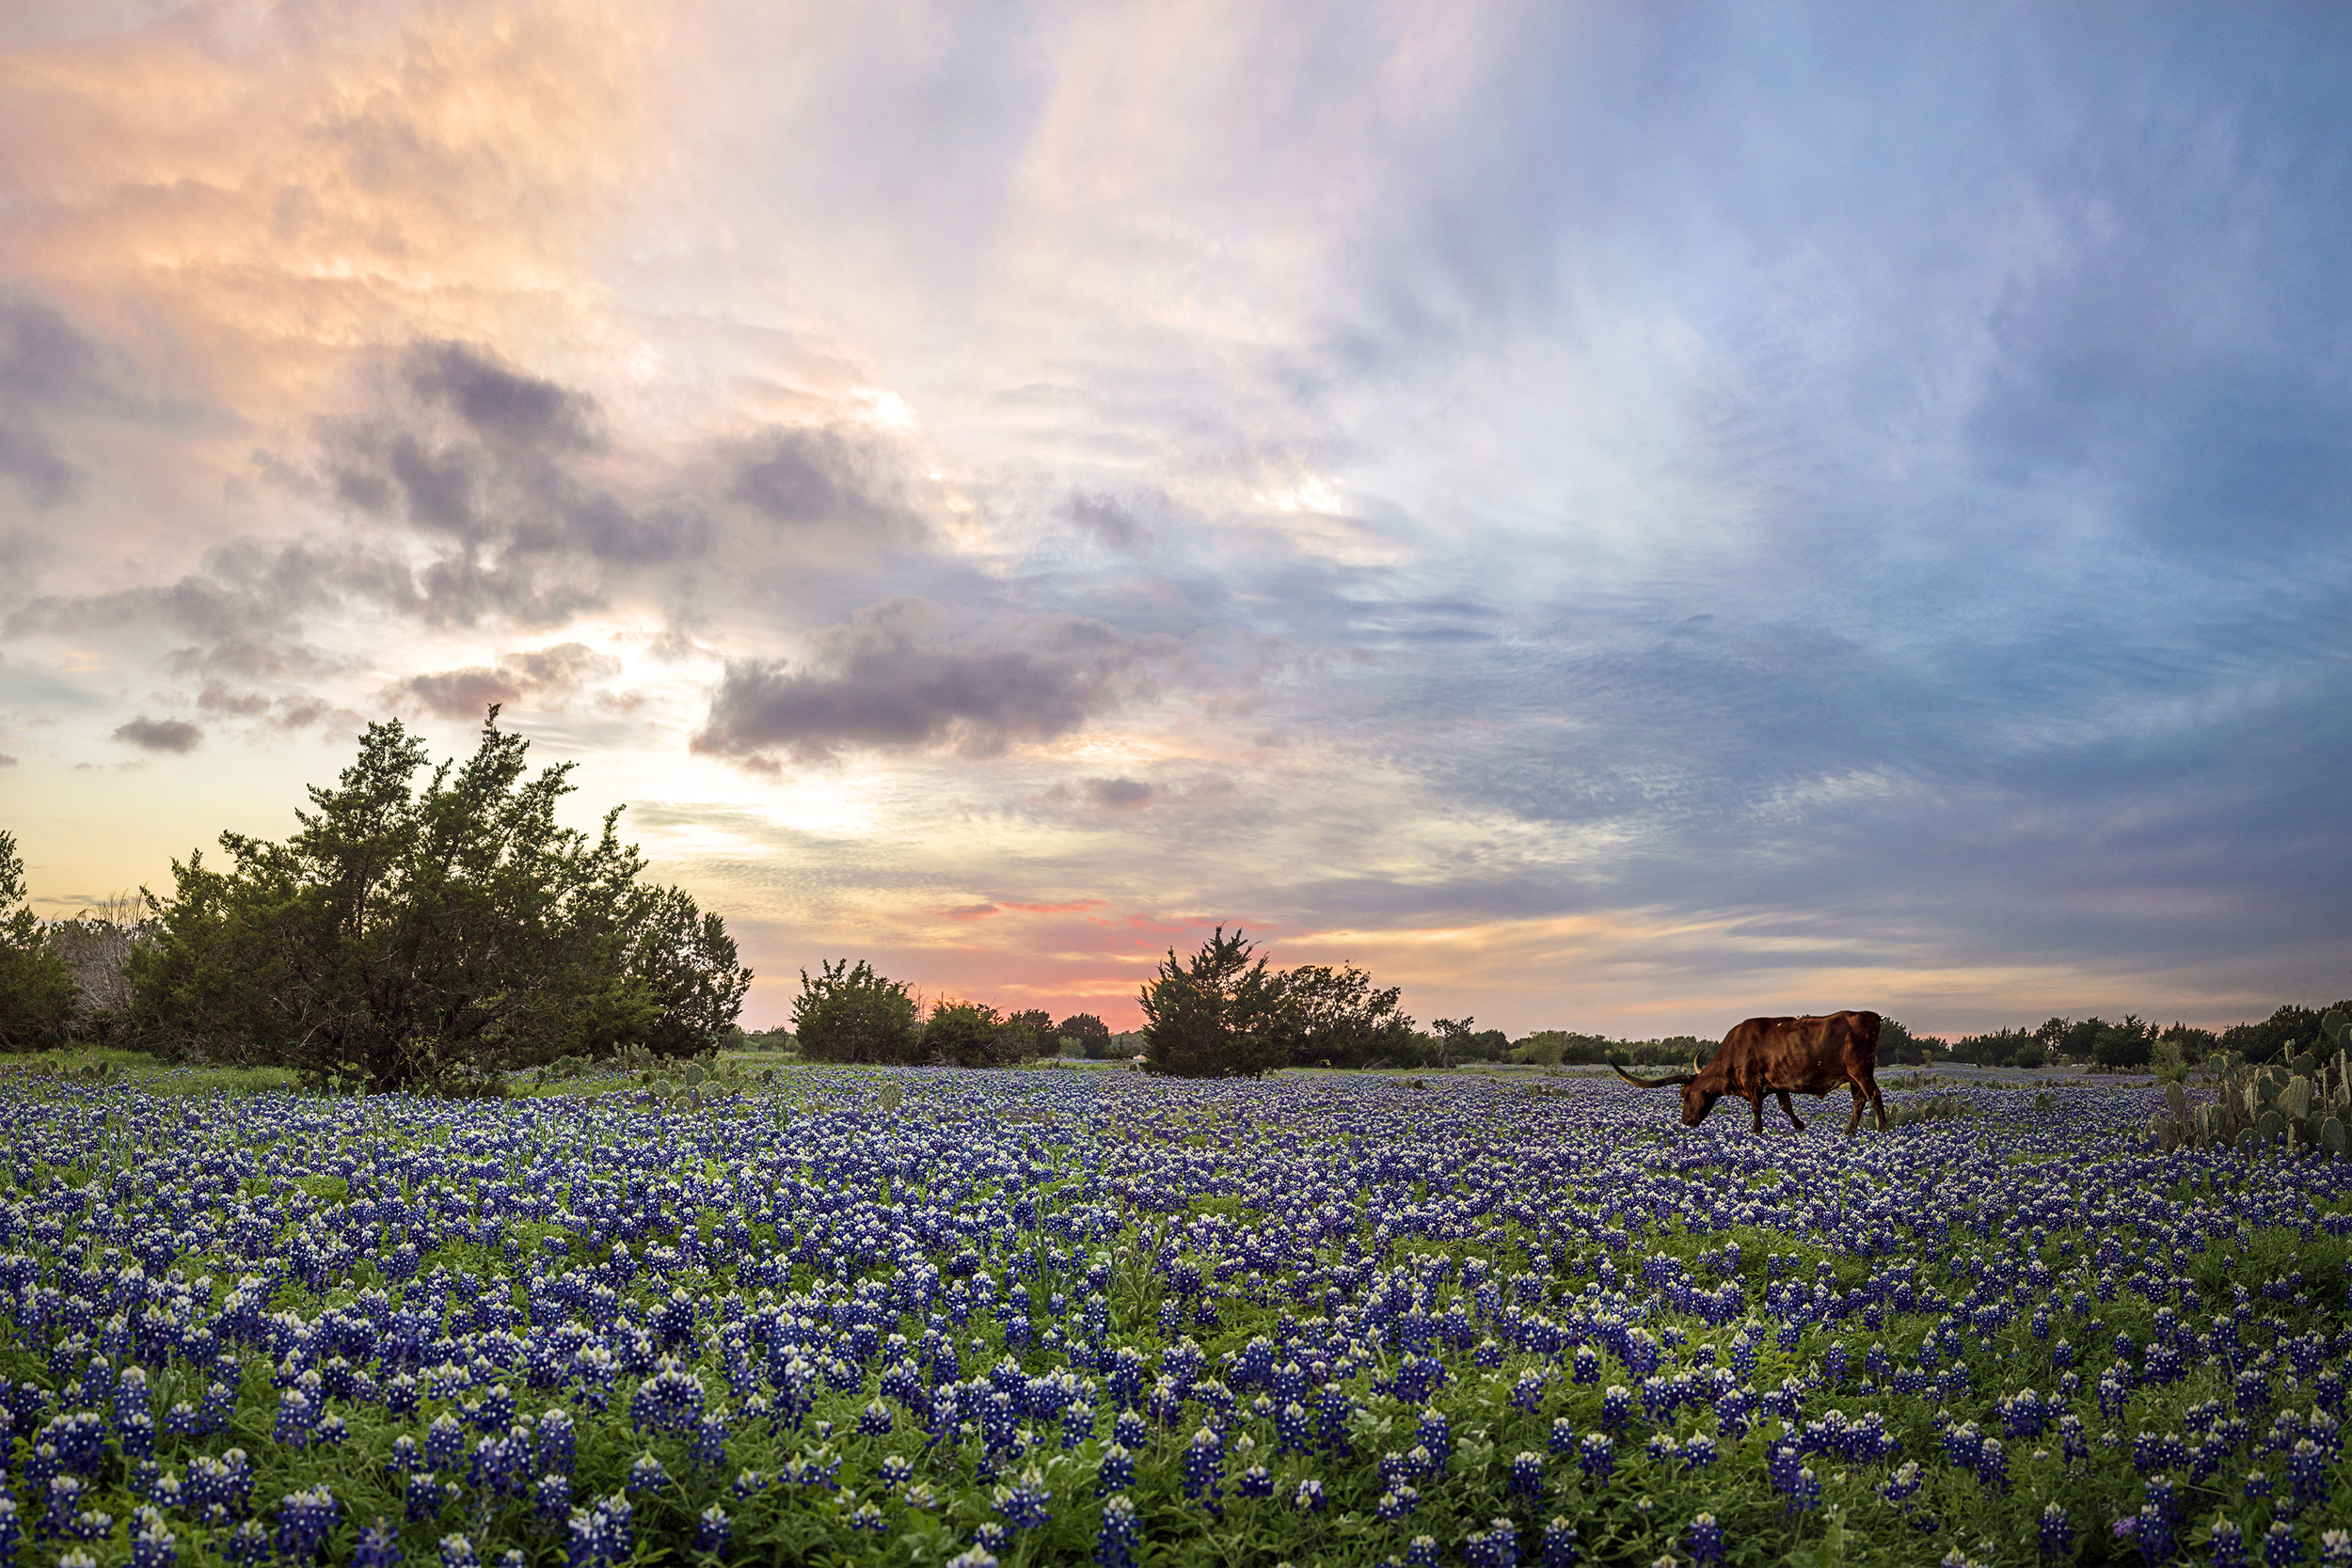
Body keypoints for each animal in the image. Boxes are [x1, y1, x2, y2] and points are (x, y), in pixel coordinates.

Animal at [1618, 1010, 1891, 1132]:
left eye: (1684, 1096)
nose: (1685, 1121)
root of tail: (1872, 1016)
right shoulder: (1779, 1084)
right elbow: (1785, 1106)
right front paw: (1800, 1127)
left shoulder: (1752, 1083)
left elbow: (1757, 1108)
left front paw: (1756, 1132)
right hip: (1853, 1077)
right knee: (1859, 1101)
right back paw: (1849, 1133)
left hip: (1862, 1071)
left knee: (1874, 1097)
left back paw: (1883, 1131)